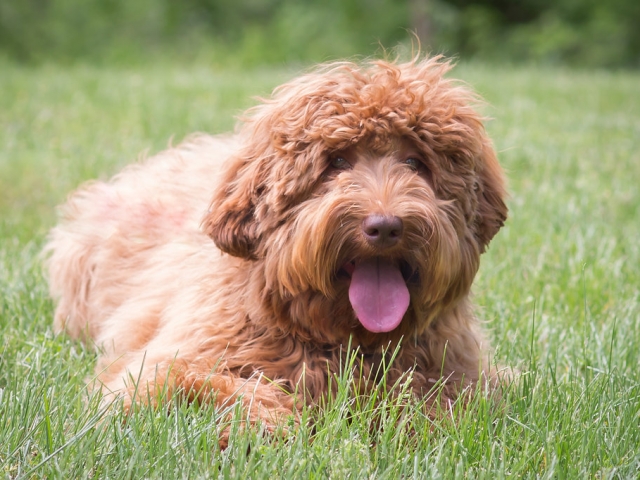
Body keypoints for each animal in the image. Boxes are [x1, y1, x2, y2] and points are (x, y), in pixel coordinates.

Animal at [45, 56, 508, 442]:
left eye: (415, 163)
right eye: (336, 162)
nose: (385, 227)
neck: (339, 335)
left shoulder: (461, 372)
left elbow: (442, 403)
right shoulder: (164, 367)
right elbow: (198, 384)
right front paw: (269, 426)